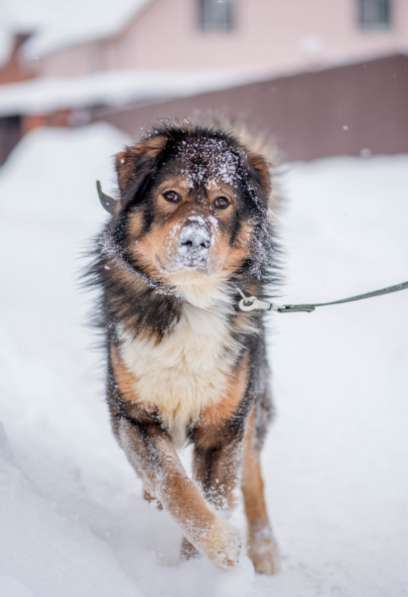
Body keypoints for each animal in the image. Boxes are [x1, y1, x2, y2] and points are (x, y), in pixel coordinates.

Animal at [87, 121, 280, 572]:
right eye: (170, 195)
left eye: (222, 202)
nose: (195, 240)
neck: (190, 299)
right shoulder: (134, 415)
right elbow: (173, 483)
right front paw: (220, 545)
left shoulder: (224, 428)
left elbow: (215, 495)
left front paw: (201, 566)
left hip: (253, 403)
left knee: (253, 480)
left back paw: (264, 552)